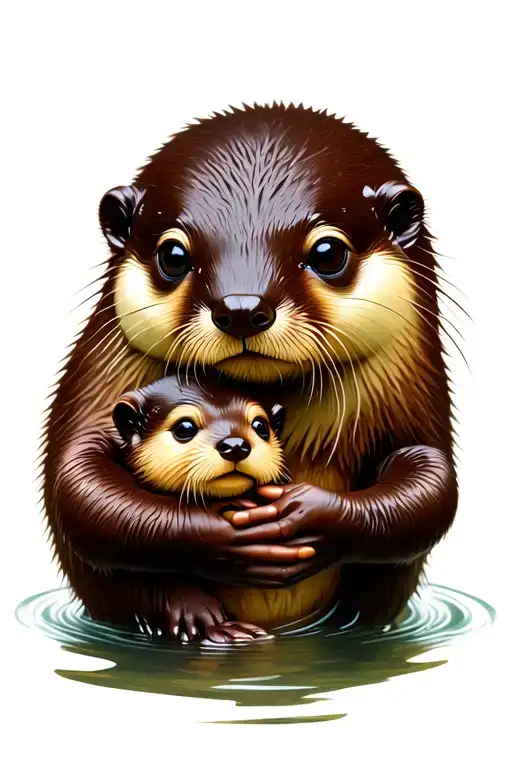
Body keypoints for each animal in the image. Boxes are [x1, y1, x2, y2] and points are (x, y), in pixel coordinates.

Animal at [42, 103, 458, 640]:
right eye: (173, 255)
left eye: (328, 252)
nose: (241, 308)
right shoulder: (97, 384)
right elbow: (79, 485)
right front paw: (222, 537)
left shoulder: (416, 399)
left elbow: (431, 484)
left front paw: (311, 514)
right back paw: (205, 623)